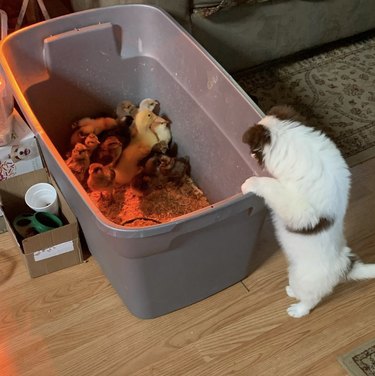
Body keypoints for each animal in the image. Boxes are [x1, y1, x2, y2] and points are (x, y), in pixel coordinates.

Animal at [241, 105, 375, 318]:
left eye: (254, 151)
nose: (251, 156)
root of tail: (344, 265)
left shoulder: (299, 208)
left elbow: (272, 186)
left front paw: (250, 183)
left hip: (302, 278)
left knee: (311, 299)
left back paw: (297, 309)